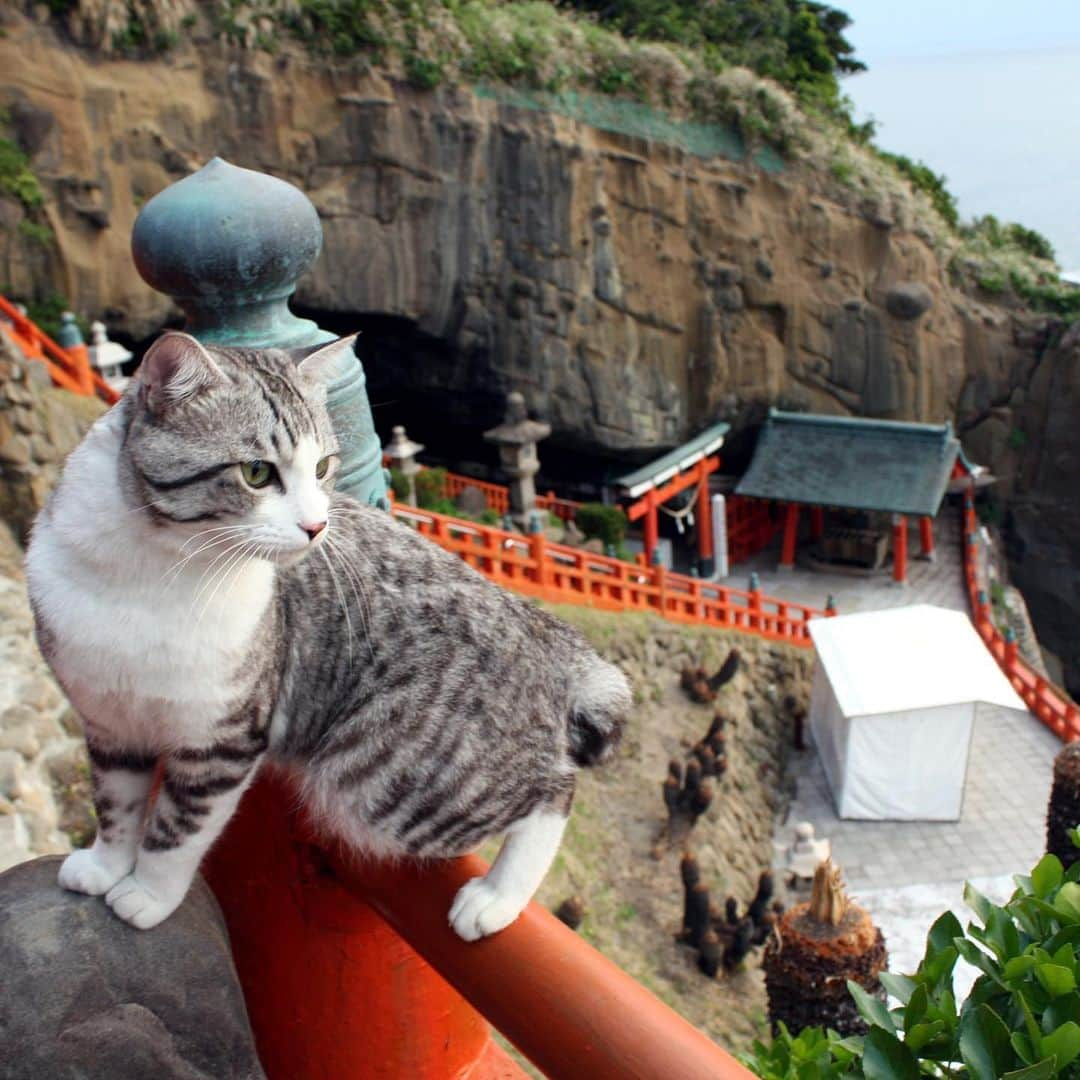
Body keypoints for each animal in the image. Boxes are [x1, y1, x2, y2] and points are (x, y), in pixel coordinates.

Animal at [27, 332, 630, 941]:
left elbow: (179, 828)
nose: (317, 526)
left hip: (389, 775)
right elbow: (116, 804)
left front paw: (148, 894)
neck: (154, 570)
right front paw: (105, 865)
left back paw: (497, 896)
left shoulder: (223, 737)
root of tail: (543, 632)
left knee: (551, 793)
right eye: (256, 472)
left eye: (322, 467)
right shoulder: (108, 720)